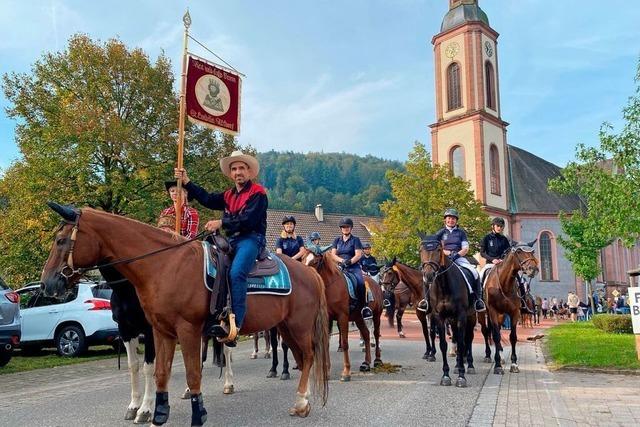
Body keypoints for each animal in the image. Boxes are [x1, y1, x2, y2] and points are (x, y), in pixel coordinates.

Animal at [40, 206, 330, 426]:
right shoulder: (158, 331)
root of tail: (309, 273)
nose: (47, 284)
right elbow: (157, 372)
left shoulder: (185, 330)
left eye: (61, 240)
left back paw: (300, 402)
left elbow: (191, 374)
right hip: (284, 327)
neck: (164, 265)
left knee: (308, 356)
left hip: (298, 326)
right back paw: (301, 399)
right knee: (302, 358)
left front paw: (192, 414)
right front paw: (156, 414)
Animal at [302, 246, 382, 382]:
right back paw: (366, 363)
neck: (330, 287)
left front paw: (346, 372)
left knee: (375, 335)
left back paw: (377, 360)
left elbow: (344, 343)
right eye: (302, 258)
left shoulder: (342, 317)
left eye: (315, 261)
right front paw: (327, 372)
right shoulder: (328, 319)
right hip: (358, 317)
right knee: (366, 334)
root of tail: (375, 283)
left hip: (376, 316)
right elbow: (326, 343)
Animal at [480, 241, 540, 374]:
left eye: (533, 252)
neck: (504, 283)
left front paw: (513, 364)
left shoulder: (514, 312)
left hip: (501, 315)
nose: (533, 269)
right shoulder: (492, 311)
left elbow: (513, 337)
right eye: (519, 251)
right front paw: (497, 366)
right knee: (486, 332)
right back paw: (488, 355)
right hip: (482, 313)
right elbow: (496, 336)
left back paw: (501, 356)